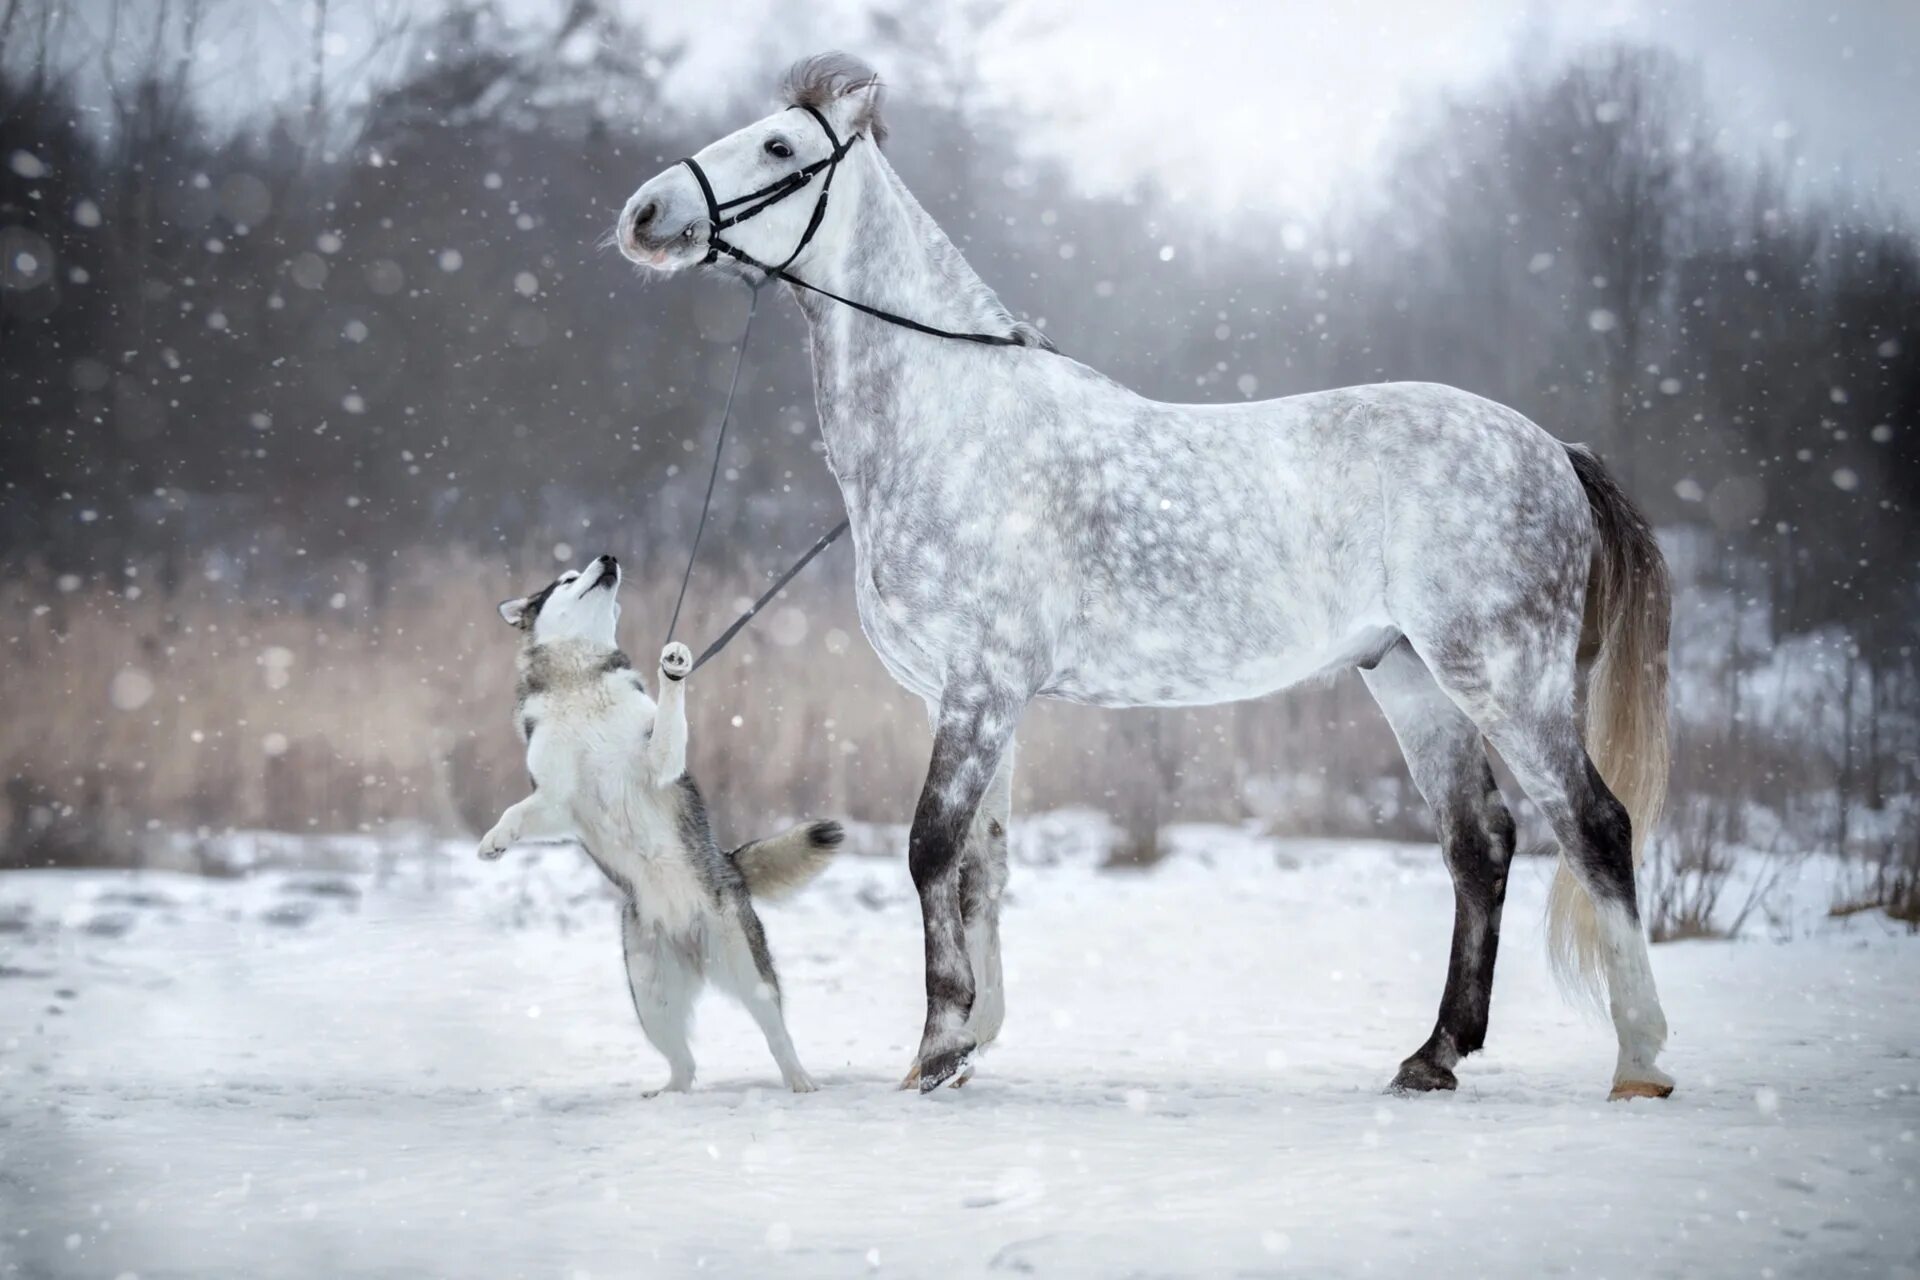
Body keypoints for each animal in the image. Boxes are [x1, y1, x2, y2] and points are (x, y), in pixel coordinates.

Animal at [480, 556, 840, 1097]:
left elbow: (668, 720)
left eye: (578, 570)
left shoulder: (656, 763)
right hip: (651, 999)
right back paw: (668, 1094)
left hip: (746, 969)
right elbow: (517, 813)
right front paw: (494, 841)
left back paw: (799, 1080)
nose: (608, 558)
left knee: (777, 1035)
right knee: (684, 1064)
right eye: (567, 578)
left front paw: (673, 667)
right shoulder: (557, 802)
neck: (579, 685)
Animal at [614, 52, 1666, 1105]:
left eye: (778, 145)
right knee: (1479, 843)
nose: (644, 214)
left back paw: (1639, 1063)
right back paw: (1434, 1055)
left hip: (1505, 679)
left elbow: (930, 849)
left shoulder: (982, 688)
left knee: (1595, 826)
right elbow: (982, 864)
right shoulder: (963, 699)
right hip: (1413, 680)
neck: (951, 420)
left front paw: (938, 1046)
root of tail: (1554, 450)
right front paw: (967, 1042)